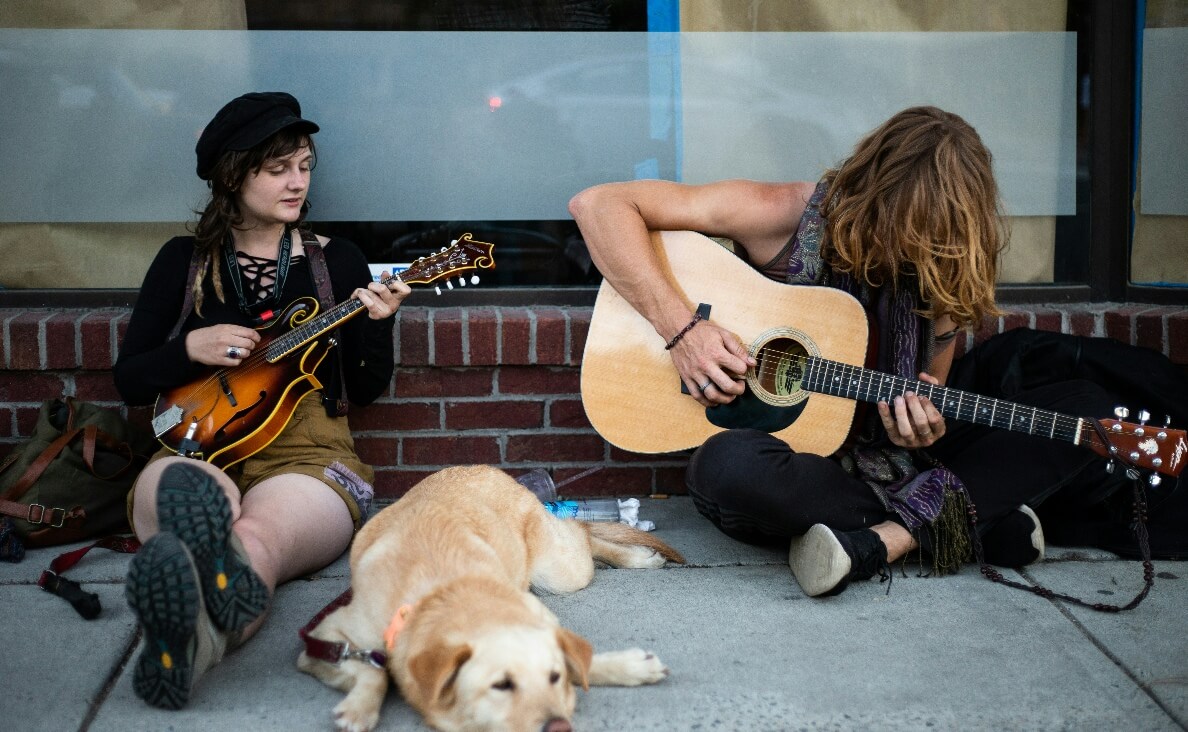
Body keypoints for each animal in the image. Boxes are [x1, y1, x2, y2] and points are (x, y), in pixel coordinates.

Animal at [299, 465, 689, 727]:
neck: (444, 591)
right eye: (500, 686)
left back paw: (637, 557)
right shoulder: (322, 641)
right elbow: (373, 671)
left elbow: (579, 657)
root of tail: (492, 470)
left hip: (560, 572)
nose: (558, 726)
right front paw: (360, 708)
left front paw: (629, 666)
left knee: (583, 532)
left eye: (554, 677)